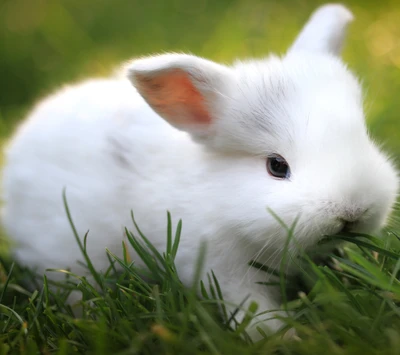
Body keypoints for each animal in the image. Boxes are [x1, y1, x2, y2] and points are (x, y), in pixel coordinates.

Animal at [1, 4, 398, 340]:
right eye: (276, 166)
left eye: (363, 137)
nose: (352, 212)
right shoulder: (221, 268)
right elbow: (253, 310)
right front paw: (284, 338)